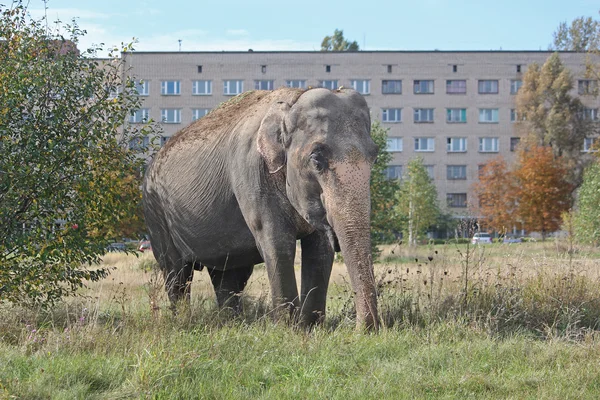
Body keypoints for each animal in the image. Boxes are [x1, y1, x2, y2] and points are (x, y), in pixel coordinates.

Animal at [142, 86, 378, 328]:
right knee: (176, 274)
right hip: (156, 213)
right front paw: (289, 328)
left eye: (375, 155)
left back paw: (232, 321)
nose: (362, 329)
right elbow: (277, 242)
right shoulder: (251, 175)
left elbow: (320, 250)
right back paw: (183, 320)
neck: (291, 100)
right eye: (316, 159)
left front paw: (311, 327)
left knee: (228, 275)